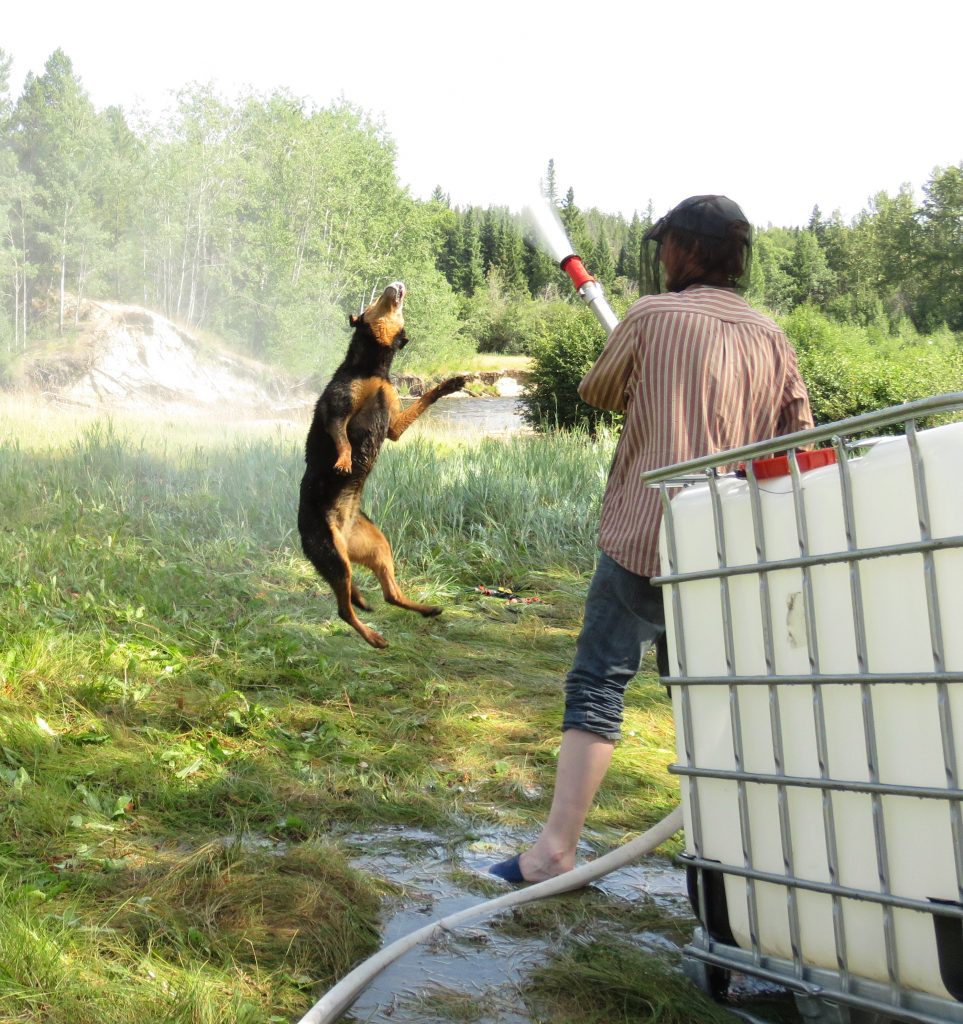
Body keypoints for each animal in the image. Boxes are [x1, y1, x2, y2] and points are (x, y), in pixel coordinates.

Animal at [299, 280, 469, 647]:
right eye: (377, 302)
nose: (398, 283)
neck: (374, 369)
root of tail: (344, 529)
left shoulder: (393, 425)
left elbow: (424, 398)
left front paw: (448, 385)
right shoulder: (337, 408)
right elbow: (342, 437)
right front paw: (344, 459)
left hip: (376, 546)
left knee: (389, 595)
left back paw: (425, 609)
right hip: (333, 557)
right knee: (344, 610)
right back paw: (373, 637)